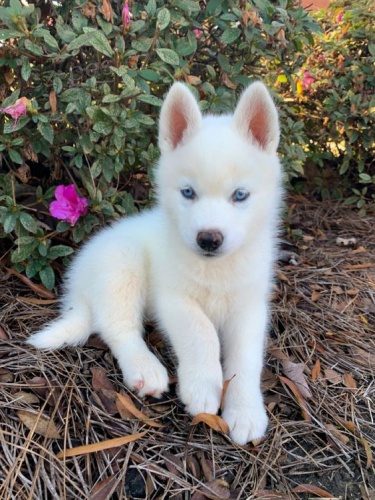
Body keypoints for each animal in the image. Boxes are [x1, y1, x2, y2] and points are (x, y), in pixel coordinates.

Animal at [28, 82, 282, 446]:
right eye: (188, 192)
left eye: (240, 195)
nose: (209, 239)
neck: (215, 270)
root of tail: (76, 285)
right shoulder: (173, 299)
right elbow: (202, 333)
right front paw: (203, 387)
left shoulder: (249, 306)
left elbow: (246, 358)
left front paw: (245, 410)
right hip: (122, 266)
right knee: (117, 328)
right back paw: (144, 368)